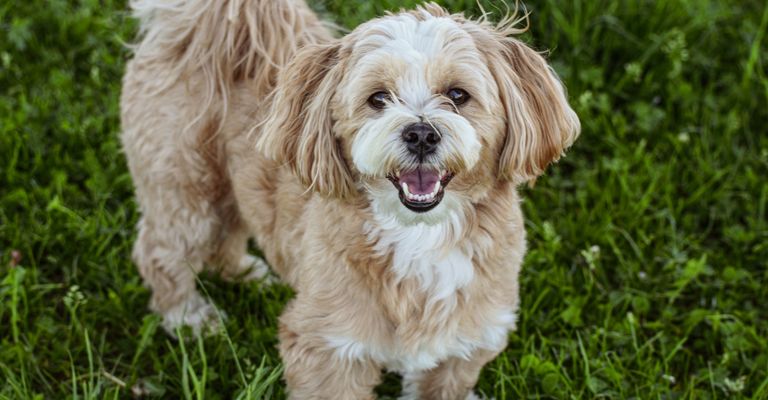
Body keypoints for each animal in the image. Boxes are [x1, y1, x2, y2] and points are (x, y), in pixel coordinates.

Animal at [120, 0, 580, 396]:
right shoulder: (327, 347)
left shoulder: (461, 347)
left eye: (457, 95)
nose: (421, 133)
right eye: (378, 98)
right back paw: (188, 317)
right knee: (161, 250)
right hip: (184, 185)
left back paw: (246, 272)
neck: (420, 236)